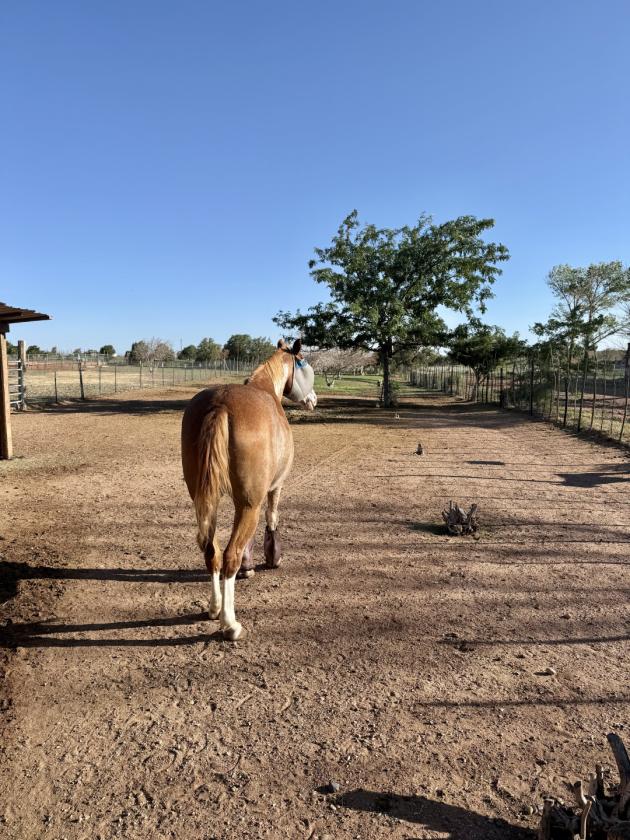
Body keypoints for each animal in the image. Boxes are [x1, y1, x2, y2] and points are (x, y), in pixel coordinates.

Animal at [181, 339, 317, 640]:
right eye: (304, 361)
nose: (313, 399)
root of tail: (220, 404)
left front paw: (248, 564)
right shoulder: (274, 488)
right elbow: (272, 519)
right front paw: (271, 557)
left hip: (204, 500)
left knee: (212, 552)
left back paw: (214, 607)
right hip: (249, 504)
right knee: (229, 555)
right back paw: (230, 623)